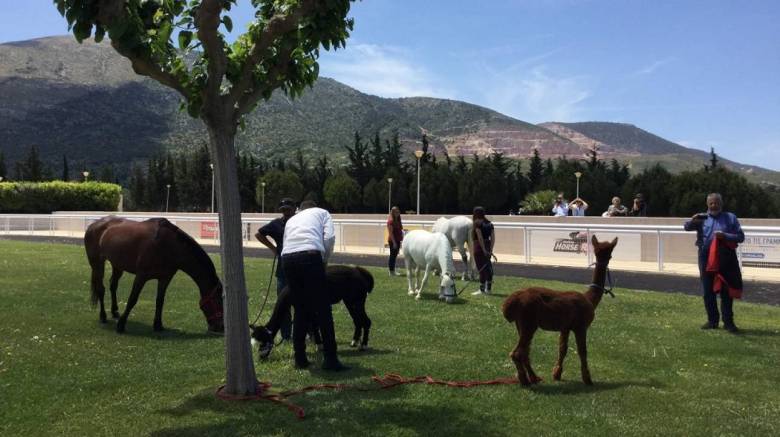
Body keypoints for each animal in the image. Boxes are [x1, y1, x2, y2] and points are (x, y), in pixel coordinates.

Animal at [85, 215, 225, 334]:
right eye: (218, 300)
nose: (220, 328)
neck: (168, 245)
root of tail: (94, 225)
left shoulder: (165, 278)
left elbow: (160, 301)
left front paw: (158, 325)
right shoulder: (141, 276)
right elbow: (132, 299)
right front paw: (121, 325)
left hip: (117, 264)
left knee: (113, 286)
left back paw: (114, 312)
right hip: (97, 263)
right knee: (100, 289)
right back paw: (103, 316)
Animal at [502, 235, 620, 384]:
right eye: (611, 255)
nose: (607, 260)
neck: (590, 299)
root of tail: (509, 303)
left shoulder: (565, 326)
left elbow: (562, 349)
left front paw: (556, 373)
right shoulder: (580, 325)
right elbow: (582, 351)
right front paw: (587, 379)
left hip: (521, 323)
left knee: (525, 351)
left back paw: (534, 377)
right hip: (529, 321)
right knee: (517, 352)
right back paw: (525, 380)